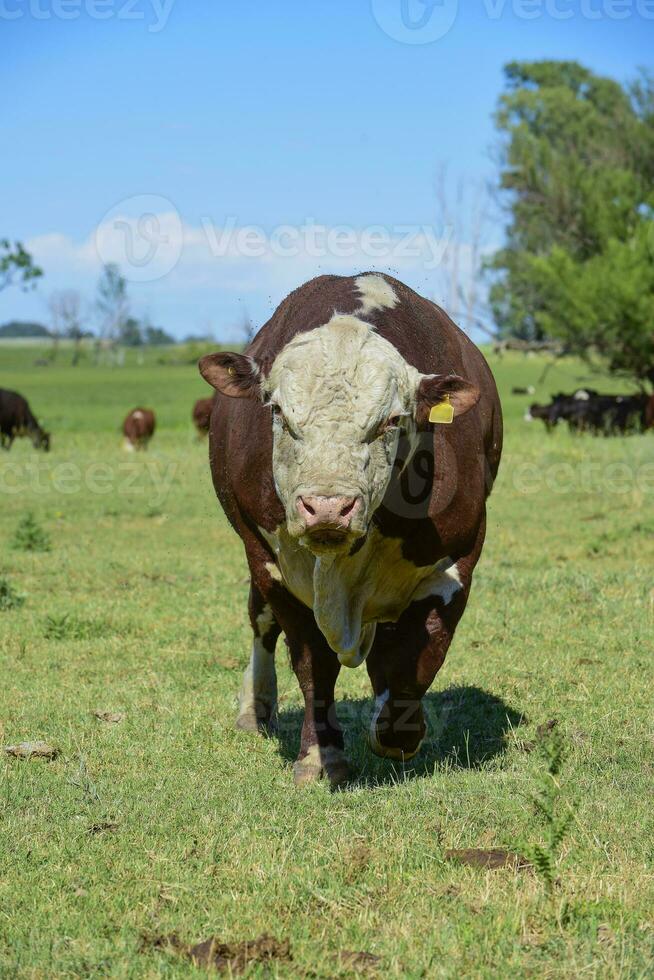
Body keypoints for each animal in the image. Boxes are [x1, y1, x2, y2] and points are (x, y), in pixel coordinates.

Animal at [199, 270, 502, 788]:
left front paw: (395, 730)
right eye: (278, 412)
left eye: (392, 420)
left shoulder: (454, 564)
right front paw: (320, 756)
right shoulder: (275, 567)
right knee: (261, 624)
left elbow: (415, 656)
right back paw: (255, 709)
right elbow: (312, 665)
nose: (327, 507)